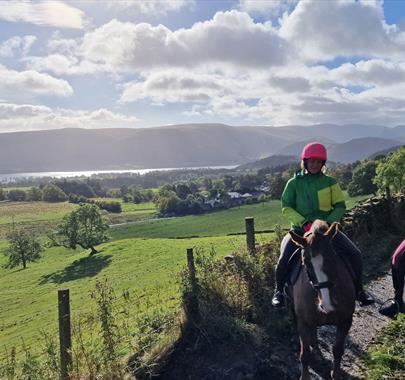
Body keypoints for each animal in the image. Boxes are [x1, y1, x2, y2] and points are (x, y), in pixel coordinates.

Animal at [288, 220, 354, 380]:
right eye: (305, 263)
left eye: (333, 258)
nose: (327, 305)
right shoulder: (303, 322)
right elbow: (304, 354)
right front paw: (305, 376)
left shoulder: (346, 321)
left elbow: (338, 350)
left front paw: (335, 374)